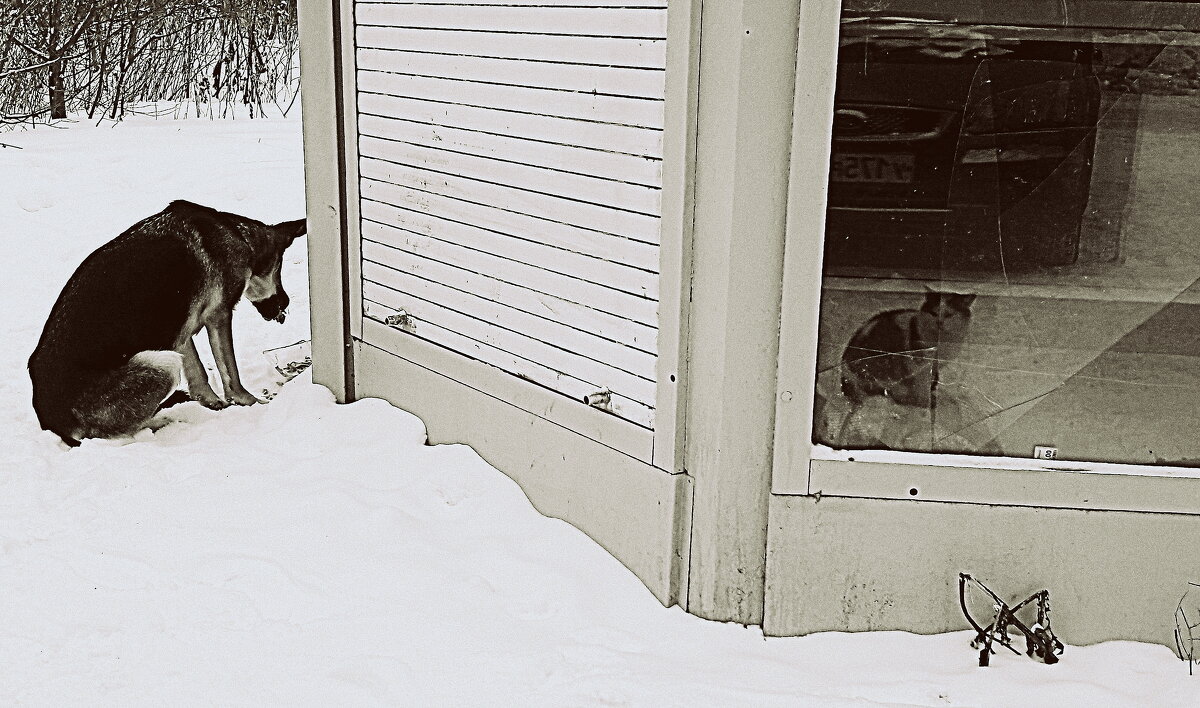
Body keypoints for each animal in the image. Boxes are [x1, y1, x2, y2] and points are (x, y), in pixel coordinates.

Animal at [32, 199, 307, 446]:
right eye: (279, 267)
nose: (285, 303)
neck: (237, 233)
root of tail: (52, 421)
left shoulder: (179, 331)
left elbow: (198, 374)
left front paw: (212, 403)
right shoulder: (218, 316)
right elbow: (230, 372)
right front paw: (248, 402)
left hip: (165, 356)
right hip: (162, 364)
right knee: (118, 434)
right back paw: (165, 421)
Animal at [844, 286, 974, 410]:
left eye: (949, 315)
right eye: (934, 313)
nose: (939, 323)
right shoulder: (918, 365)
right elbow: (921, 386)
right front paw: (926, 402)